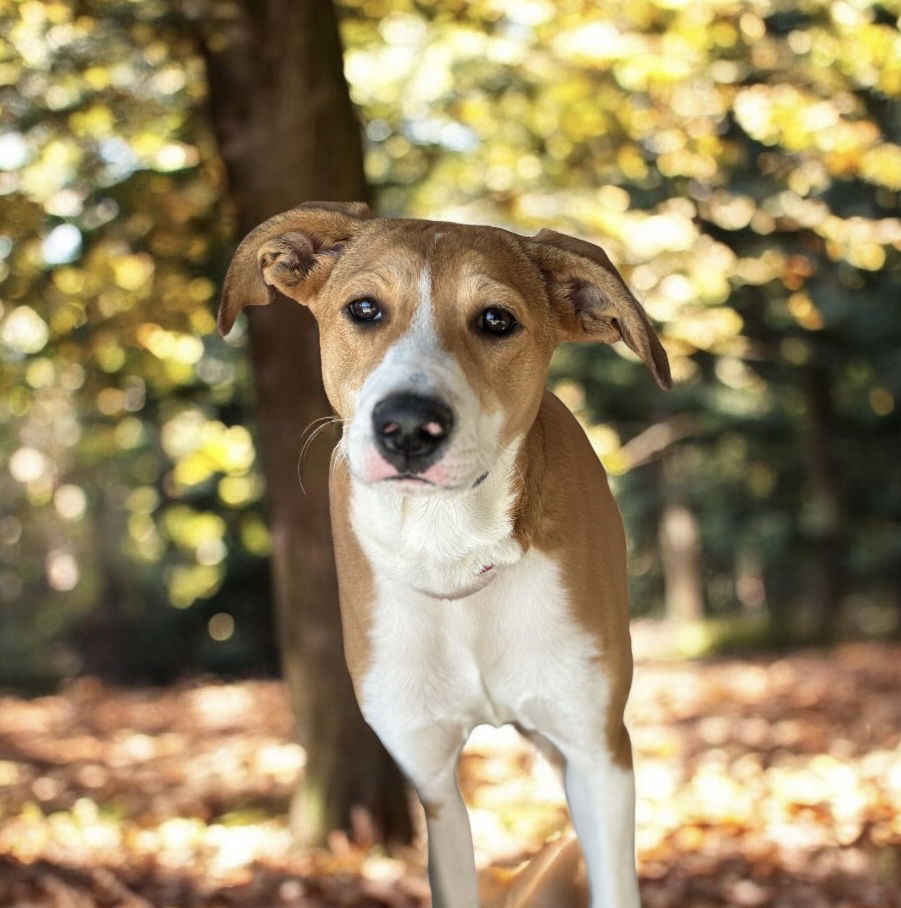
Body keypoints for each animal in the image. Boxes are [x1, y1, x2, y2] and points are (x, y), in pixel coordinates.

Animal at [216, 200, 668, 908]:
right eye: (364, 309)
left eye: (496, 320)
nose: (407, 425)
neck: (450, 550)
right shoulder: (432, 782)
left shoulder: (598, 755)